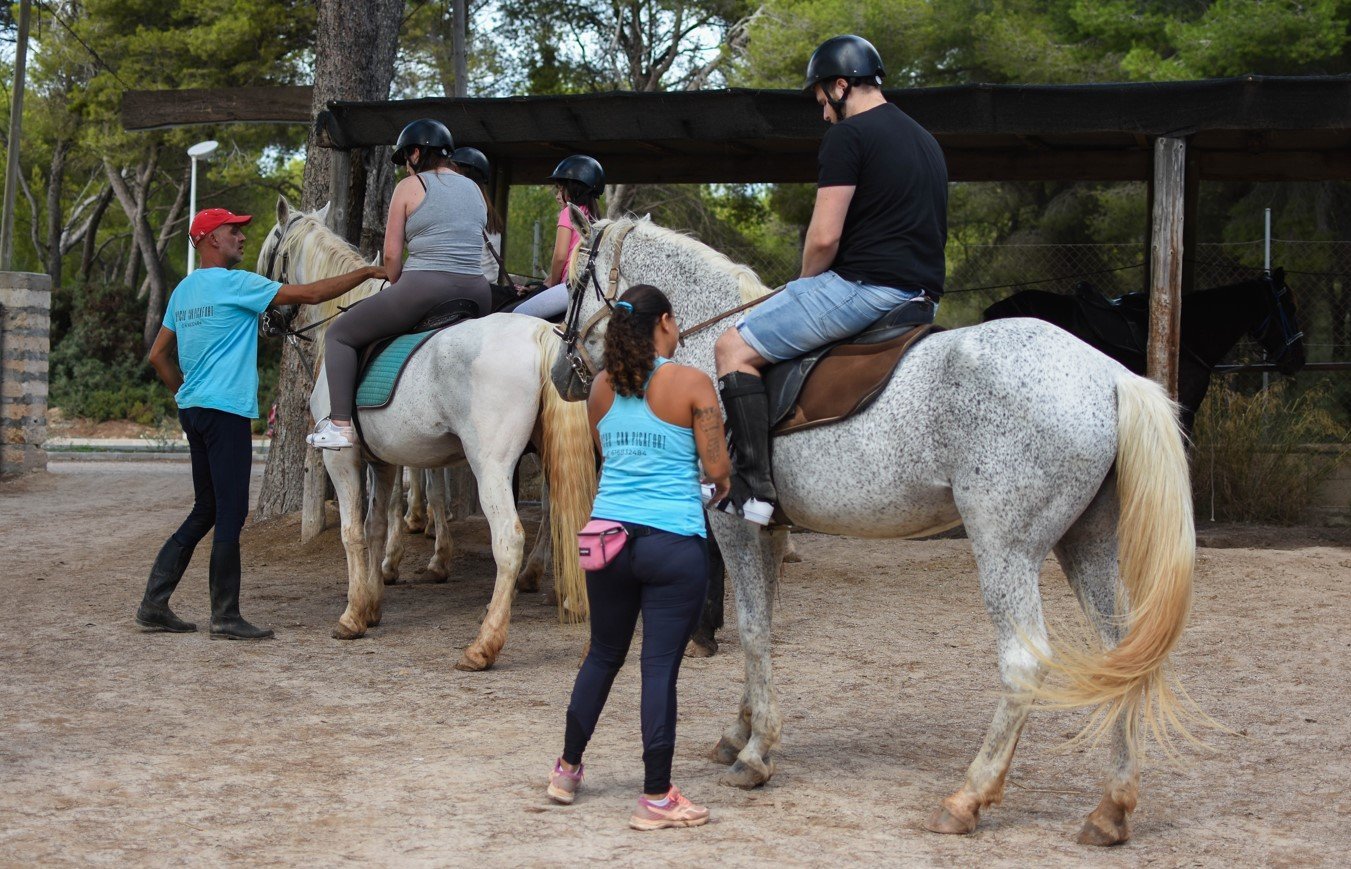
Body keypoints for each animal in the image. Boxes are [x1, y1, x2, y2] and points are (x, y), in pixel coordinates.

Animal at [257, 197, 596, 671]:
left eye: (269, 252)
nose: (267, 320)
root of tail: (541, 333)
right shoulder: (382, 460)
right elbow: (377, 524)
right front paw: (372, 604)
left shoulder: (343, 457)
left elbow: (353, 531)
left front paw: (351, 615)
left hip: (491, 465)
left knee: (510, 539)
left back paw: (484, 643)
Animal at [550, 212, 1199, 845]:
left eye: (574, 283)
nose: (561, 374)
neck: (707, 337)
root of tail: (1109, 374)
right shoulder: (770, 534)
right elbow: (763, 627)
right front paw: (740, 733)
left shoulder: (732, 528)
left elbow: (753, 630)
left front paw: (757, 755)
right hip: (1086, 542)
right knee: (1122, 656)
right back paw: (1111, 810)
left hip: (1005, 550)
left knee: (1024, 662)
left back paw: (967, 799)